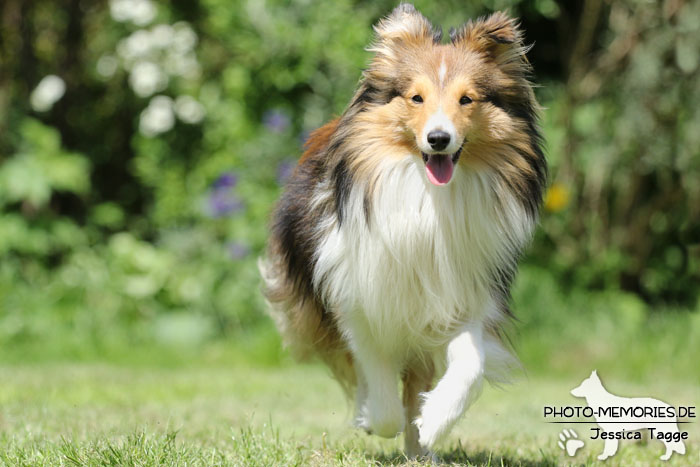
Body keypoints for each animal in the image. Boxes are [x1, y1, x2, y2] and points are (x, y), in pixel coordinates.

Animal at [259, 4, 546, 457]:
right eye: (416, 98)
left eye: (467, 99)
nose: (439, 139)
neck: (428, 200)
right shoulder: (358, 297)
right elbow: (375, 377)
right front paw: (375, 419)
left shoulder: (464, 295)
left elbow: (470, 364)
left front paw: (434, 420)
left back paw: (420, 448)